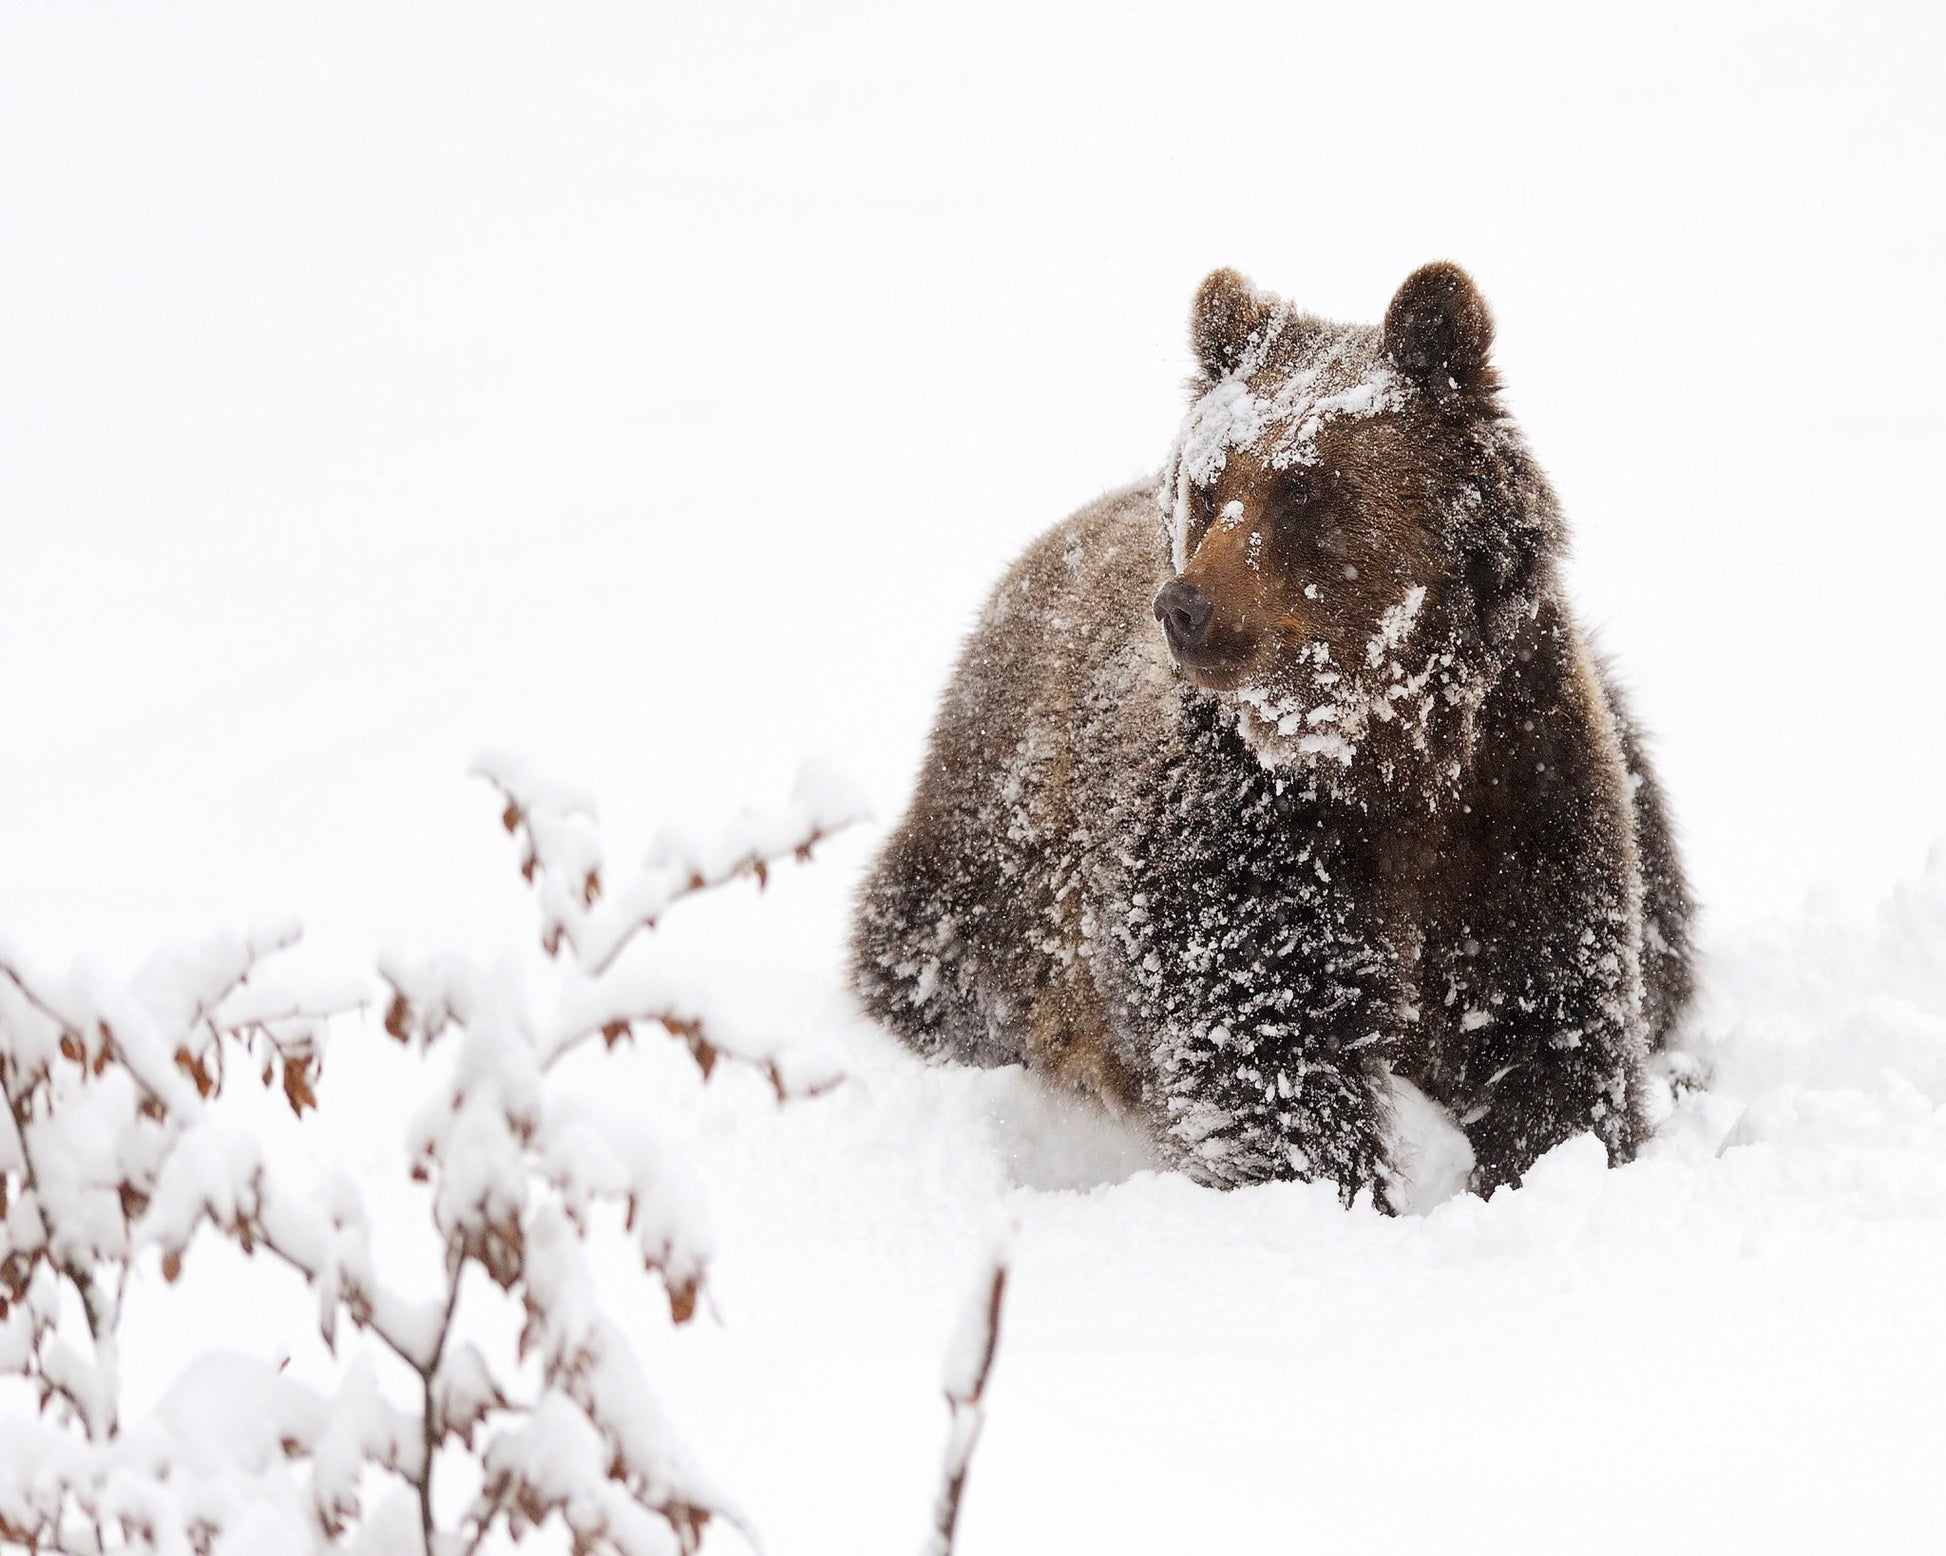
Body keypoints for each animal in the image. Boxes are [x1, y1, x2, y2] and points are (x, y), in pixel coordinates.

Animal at [849, 262, 1694, 1206]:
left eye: (1301, 488)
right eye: (1209, 484)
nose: (1185, 606)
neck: (1384, 746)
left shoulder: (1521, 794)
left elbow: (1552, 1031)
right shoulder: (1247, 840)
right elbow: (1266, 1057)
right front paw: (1340, 1191)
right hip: (993, 874)